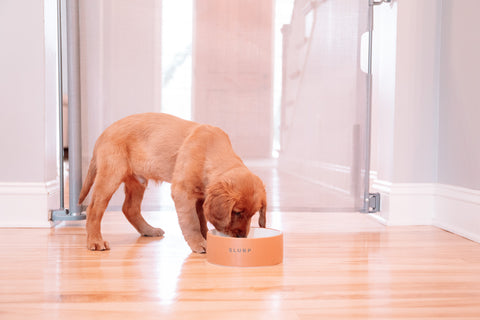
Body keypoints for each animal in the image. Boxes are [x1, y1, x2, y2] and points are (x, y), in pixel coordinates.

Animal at [78, 112, 266, 252]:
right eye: (237, 212)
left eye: (253, 215)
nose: (242, 237)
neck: (210, 151)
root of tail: (102, 135)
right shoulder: (182, 192)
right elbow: (192, 221)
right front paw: (199, 243)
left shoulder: (200, 197)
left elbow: (202, 220)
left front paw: (205, 237)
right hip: (111, 175)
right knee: (94, 208)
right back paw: (95, 241)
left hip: (138, 180)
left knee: (129, 208)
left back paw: (149, 230)